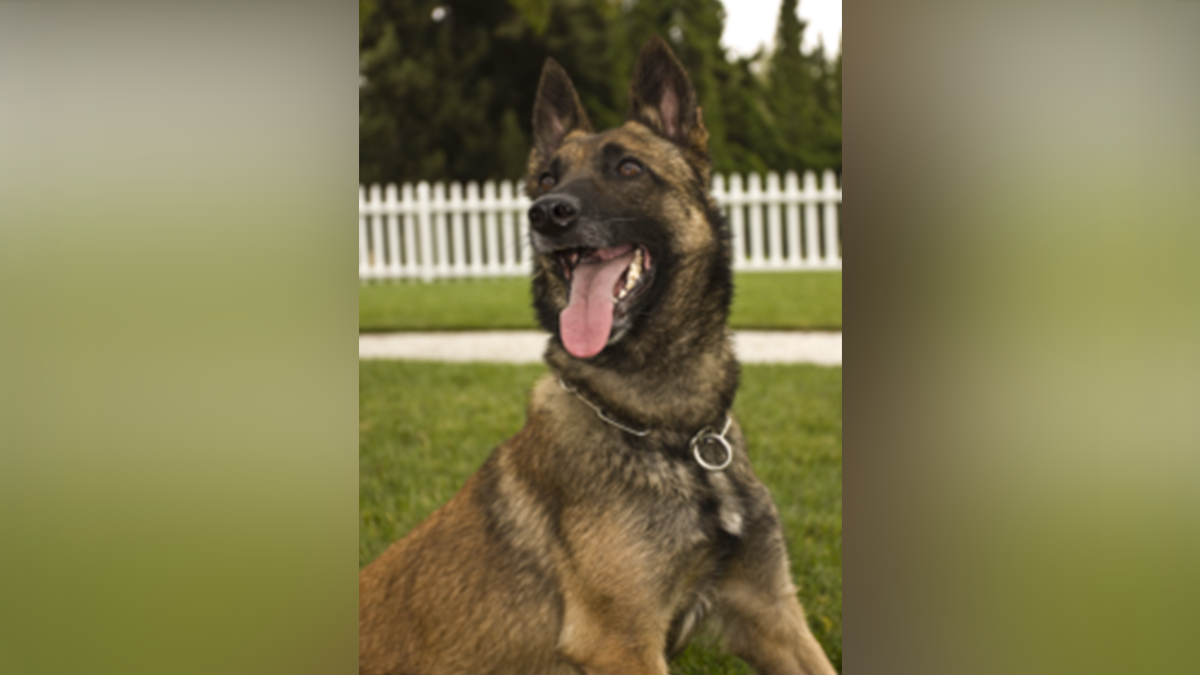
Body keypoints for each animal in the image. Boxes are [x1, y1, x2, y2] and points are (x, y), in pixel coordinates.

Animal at [360, 36, 840, 672]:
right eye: (545, 179)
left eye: (629, 168)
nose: (547, 214)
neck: (671, 432)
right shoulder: (622, 642)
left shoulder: (772, 612)